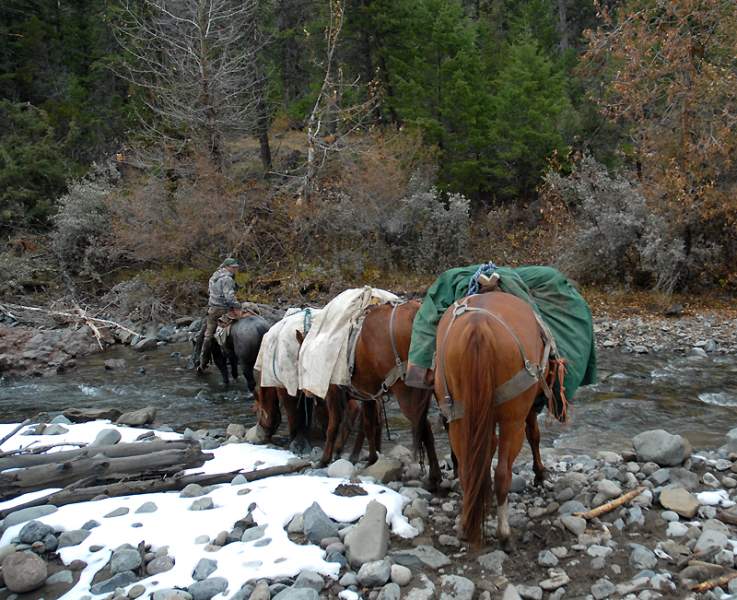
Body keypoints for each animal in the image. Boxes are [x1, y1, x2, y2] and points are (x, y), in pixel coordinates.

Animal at [434, 290, 556, 548]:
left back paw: (466, 523)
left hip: (459, 417)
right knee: (503, 473)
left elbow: (486, 449)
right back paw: (504, 533)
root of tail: (478, 326)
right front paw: (540, 473)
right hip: (512, 419)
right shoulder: (526, 410)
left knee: (467, 469)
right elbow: (534, 435)